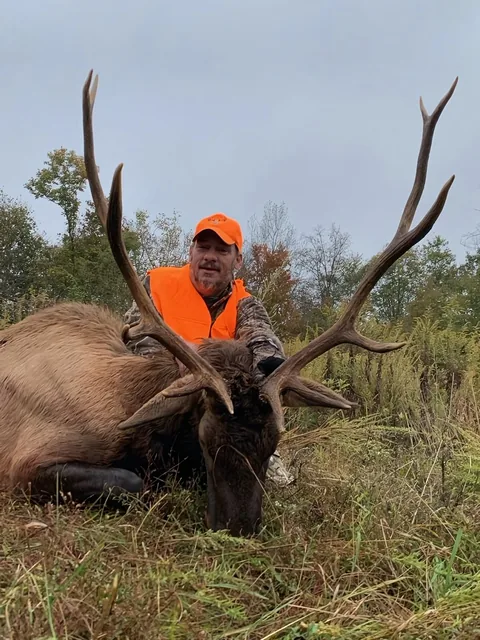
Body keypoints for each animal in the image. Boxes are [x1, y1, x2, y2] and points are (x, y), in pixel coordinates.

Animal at [0, 71, 457, 536]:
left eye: (273, 441)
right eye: (205, 437)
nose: (239, 527)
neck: (134, 412)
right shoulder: (24, 463)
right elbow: (133, 483)